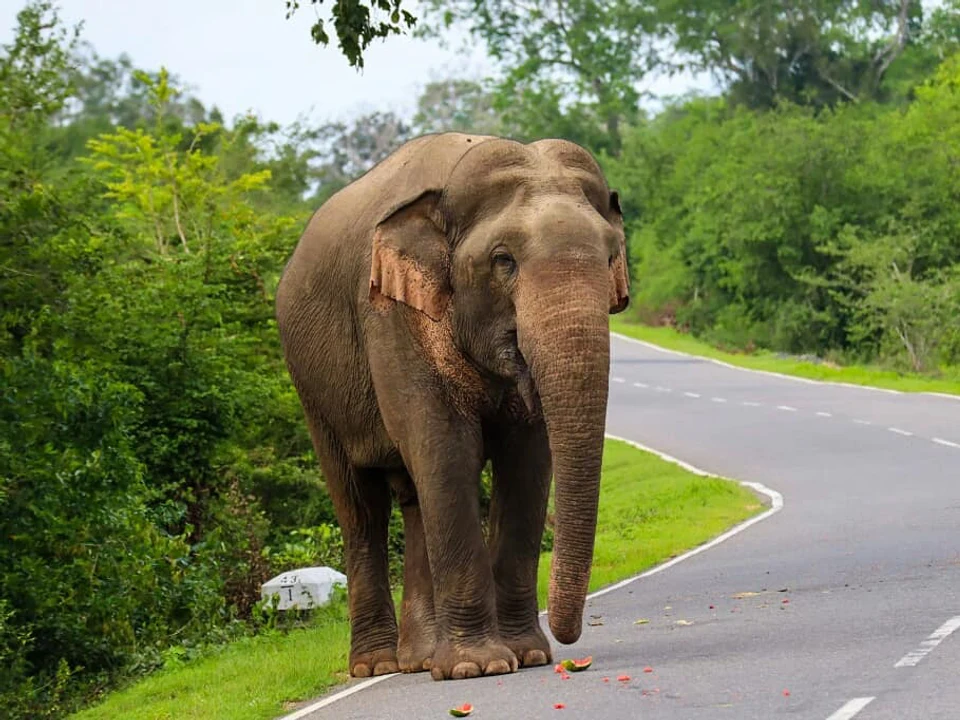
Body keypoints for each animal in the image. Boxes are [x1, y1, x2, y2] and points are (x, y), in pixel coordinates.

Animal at [275, 132, 630, 682]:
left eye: (611, 255)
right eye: (504, 260)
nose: (571, 648)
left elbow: (527, 461)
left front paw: (527, 655)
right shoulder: (393, 315)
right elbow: (445, 449)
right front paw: (478, 667)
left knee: (413, 498)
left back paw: (419, 660)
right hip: (312, 388)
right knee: (361, 508)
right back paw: (377, 665)